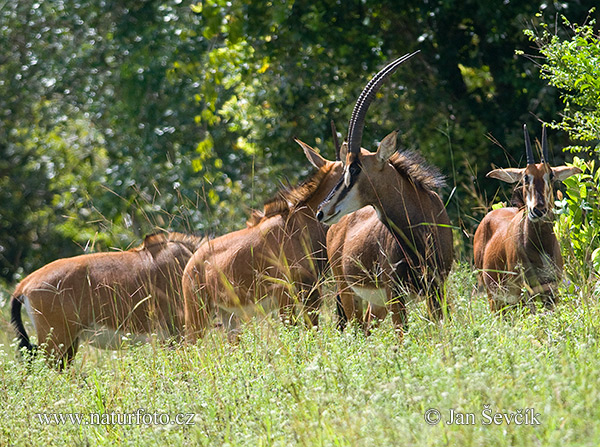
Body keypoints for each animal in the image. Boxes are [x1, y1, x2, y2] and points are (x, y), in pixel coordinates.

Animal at [180, 142, 344, 342]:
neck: (298, 227)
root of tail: (190, 264)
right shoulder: (284, 294)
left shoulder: (312, 294)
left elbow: (313, 330)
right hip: (197, 313)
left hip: (229, 315)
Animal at [316, 54, 452, 334]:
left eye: (354, 168)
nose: (322, 211)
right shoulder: (395, 294)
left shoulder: (437, 289)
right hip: (349, 293)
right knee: (357, 331)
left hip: (376, 303)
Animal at [474, 123, 580, 312]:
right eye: (525, 177)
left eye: (550, 175)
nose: (538, 210)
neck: (540, 245)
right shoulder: (523, 294)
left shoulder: (552, 291)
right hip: (494, 298)